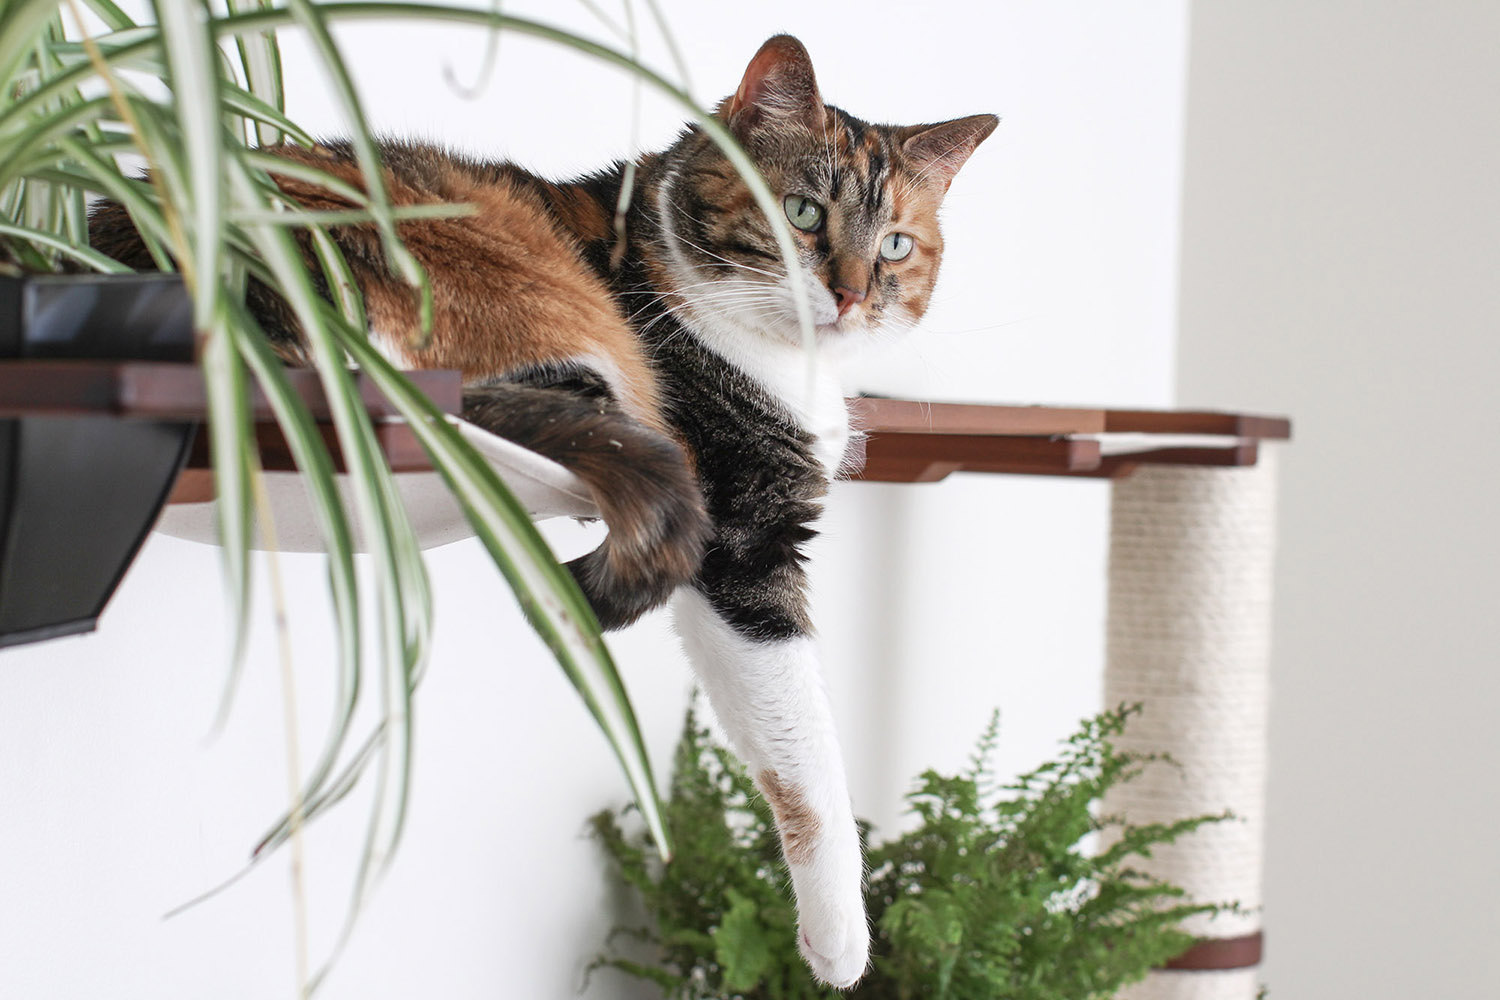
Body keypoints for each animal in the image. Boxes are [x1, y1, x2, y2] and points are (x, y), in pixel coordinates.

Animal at [90, 29, 996, 983]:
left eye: (895, 246)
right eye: (803, 212)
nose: (854, 294)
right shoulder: (744, 533)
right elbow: (805, 732)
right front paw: (841, 937)